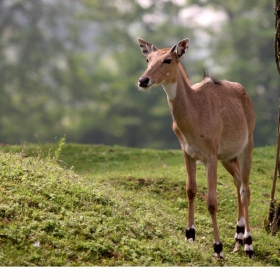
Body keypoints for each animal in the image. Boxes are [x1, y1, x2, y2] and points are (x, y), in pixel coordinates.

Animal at [137, 37, 255, 258]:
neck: (195, 115)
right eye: (148, 59)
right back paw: (238, 235)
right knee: (237, 181)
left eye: (167, 60)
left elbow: (211, 201)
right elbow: (190, 190)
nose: (143, 80)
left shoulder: (210, 156)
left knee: (245, 188)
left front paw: (218, 248)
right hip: (227, 155)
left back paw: (248, 244)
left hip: (247, 144)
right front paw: (190, 235)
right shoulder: (188, 152)